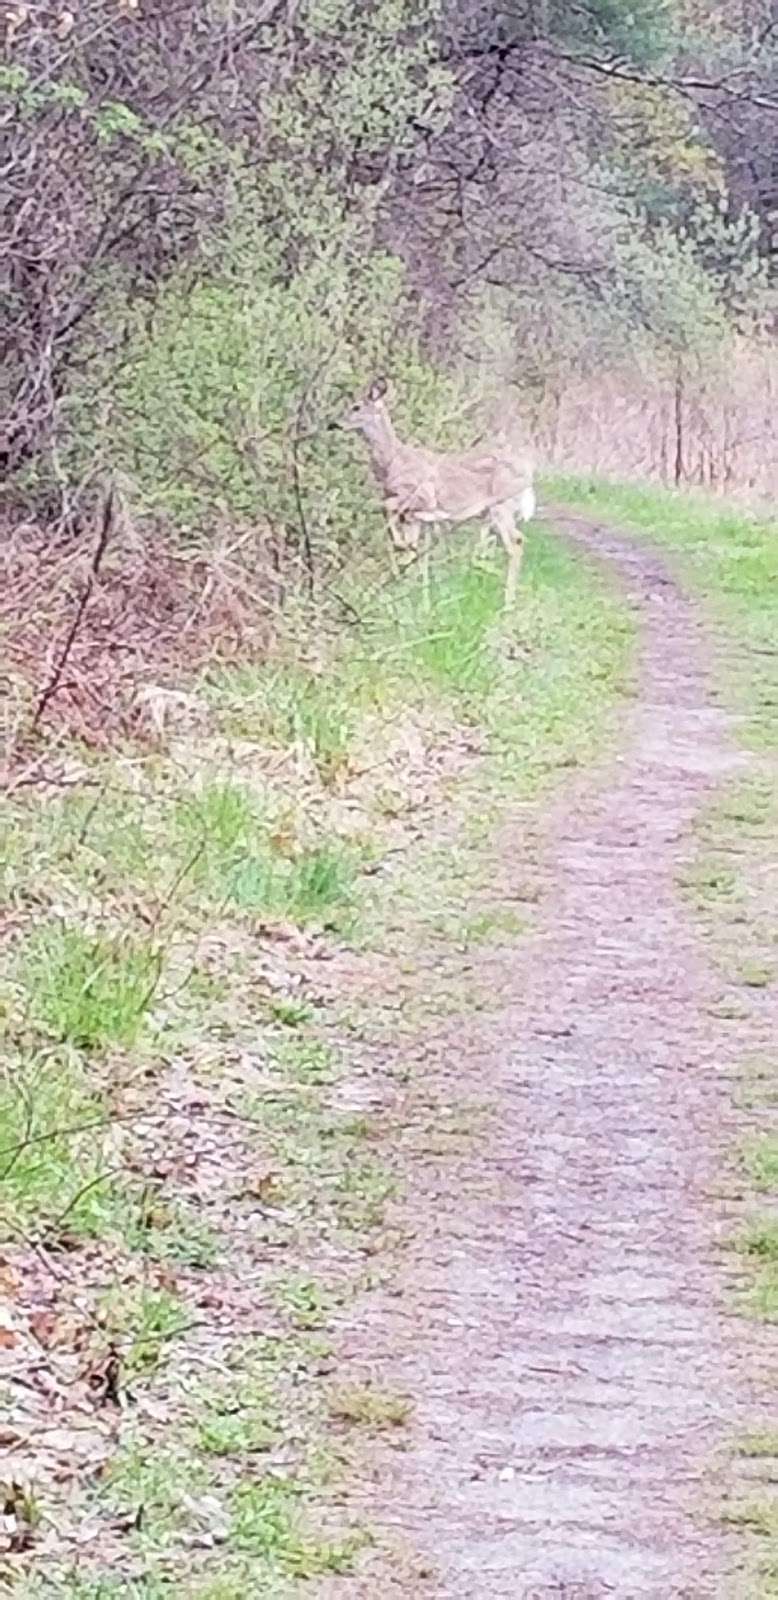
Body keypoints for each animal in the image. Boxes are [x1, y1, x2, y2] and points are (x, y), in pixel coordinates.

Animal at [337, 374, 537, 604]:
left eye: (356, 407)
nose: (335, 424)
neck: (392, 462)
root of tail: (528, 474)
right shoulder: (413, 517)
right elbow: (412, 548)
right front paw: (413, 592)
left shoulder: (420, 497)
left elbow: (385, 506)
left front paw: (400, 550)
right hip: (491, 513)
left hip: (502, 505)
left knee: (516, 543)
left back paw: (508, 602)